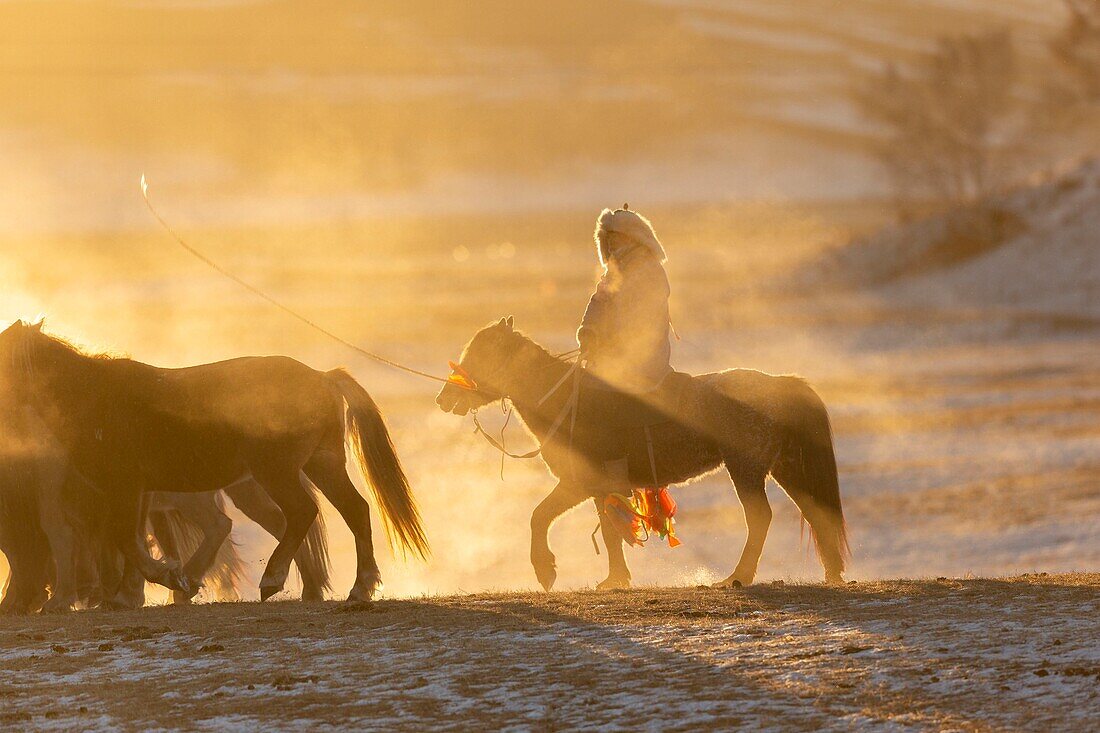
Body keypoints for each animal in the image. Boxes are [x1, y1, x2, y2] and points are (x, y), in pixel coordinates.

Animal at [0, 319, 424, 598]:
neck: (94, 397)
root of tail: (322, 377)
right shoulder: (138, 492)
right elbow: (131, 540)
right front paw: (164, 580)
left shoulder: (124, 486)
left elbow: (124, 538)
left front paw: (168, 577)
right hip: (322, 464)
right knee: (355, 511)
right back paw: (361, 586)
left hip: (278, 472)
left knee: (302, 513)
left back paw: (273, 579)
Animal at [433, 319, 844, 589]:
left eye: (481, 354)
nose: (444, 398)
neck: (570, 402)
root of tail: (782, 384)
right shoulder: (596, 489)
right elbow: (606, 530)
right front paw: (615, 579)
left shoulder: (580, 484)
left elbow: (541, 517)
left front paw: (546, 571)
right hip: (785, 469)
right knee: (818, 514)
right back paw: (832, 574)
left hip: (746, 470)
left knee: (760, 517)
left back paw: (737, 577)